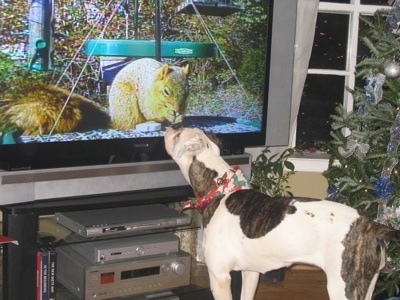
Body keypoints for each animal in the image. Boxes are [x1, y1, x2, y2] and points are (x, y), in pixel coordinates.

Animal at [164, 125, 400, 300]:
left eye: (179, 133)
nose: (169, 126)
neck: (220, 189)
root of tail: (371, 225)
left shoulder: (219, 277)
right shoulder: (251, 273)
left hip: (343, 288)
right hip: (366, 285)